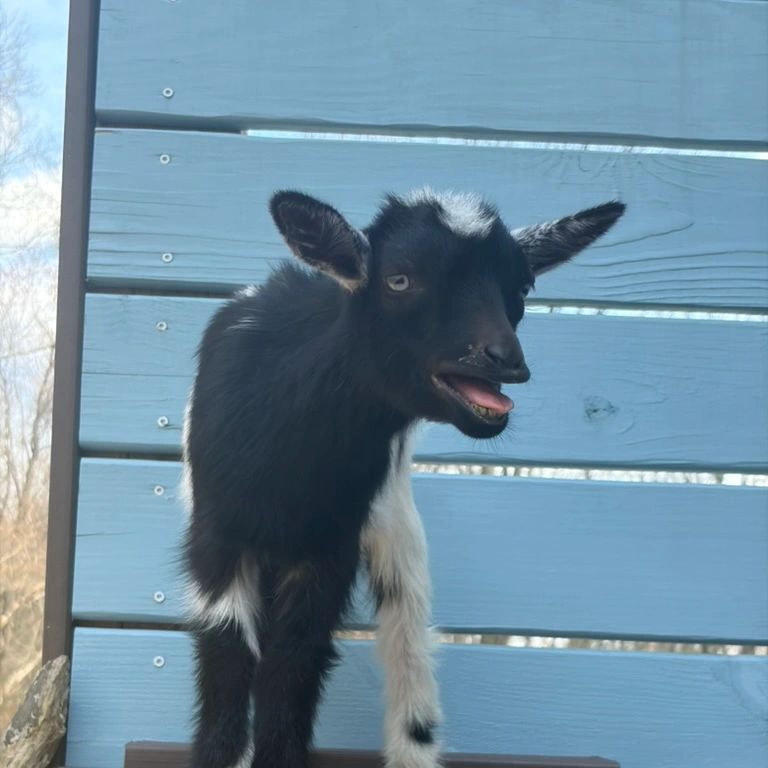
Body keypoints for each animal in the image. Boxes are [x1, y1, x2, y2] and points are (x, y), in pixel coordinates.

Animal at [183, 189, 625, 768]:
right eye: (399, 279)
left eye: (522, 287)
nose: (505, 360)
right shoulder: (218, 537)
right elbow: (227, 656)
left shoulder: (332, 543)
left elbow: (294, 659)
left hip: (393, 522)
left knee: (407, 641)